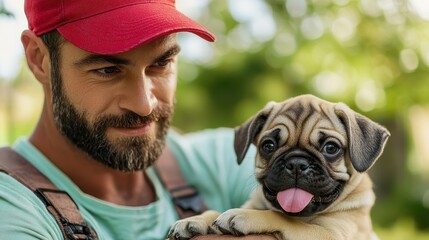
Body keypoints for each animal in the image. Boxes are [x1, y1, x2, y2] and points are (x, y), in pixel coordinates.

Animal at [169, 94, 390, 239]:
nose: (297, 163)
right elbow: (216, 211)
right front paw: (196, 220)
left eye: (331, 148)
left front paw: (243, 216)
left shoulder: (331, 233)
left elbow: (283, 217)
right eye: (268, 146)